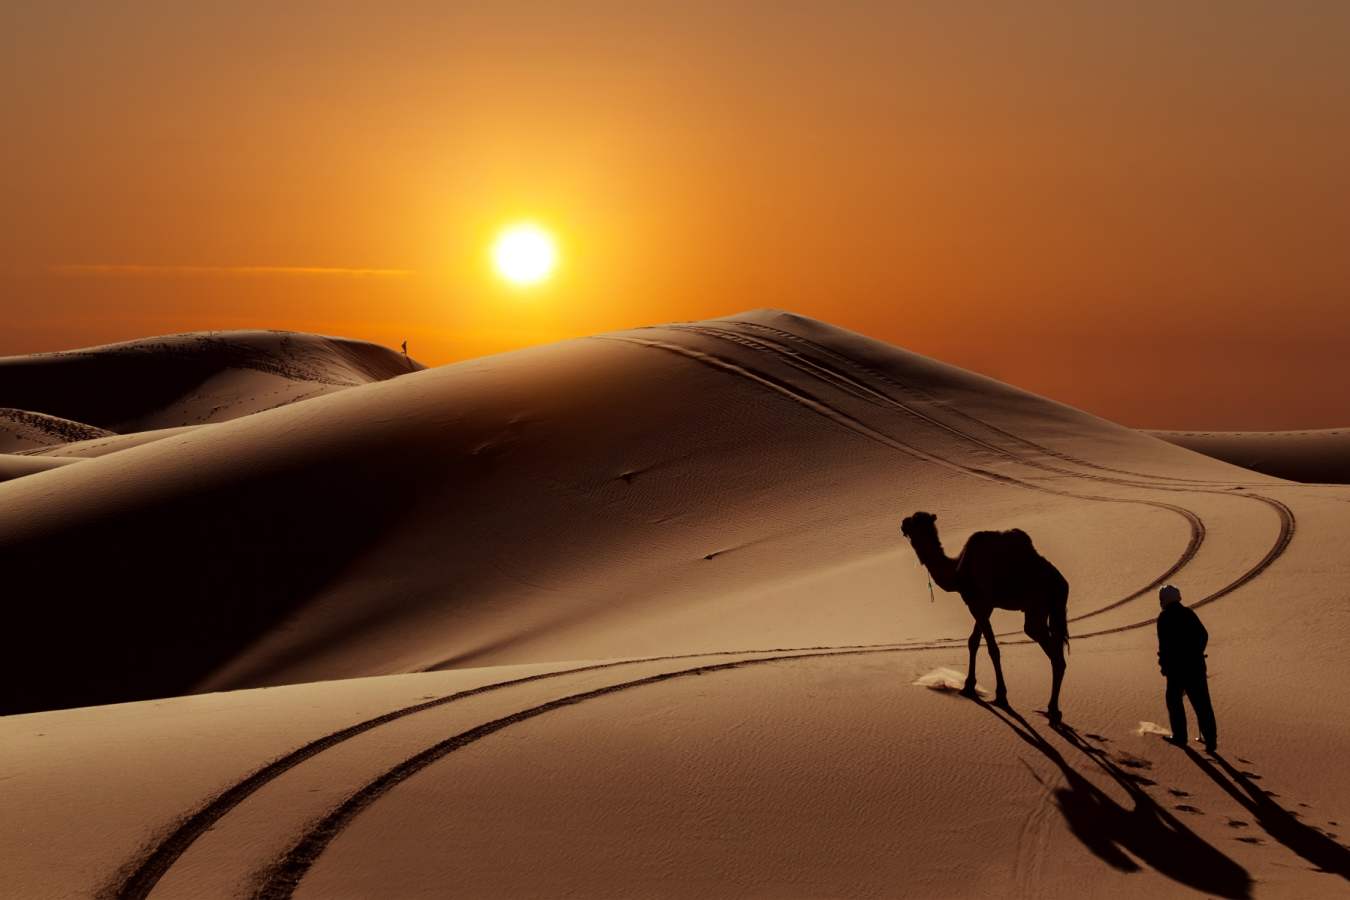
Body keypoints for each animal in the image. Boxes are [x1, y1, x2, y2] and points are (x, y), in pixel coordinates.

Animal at [900, 511, 1069, 722]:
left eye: (914, 521)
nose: (902, 523)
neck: (958, 570)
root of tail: (1062, 585)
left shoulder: (981, 603)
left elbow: (992, 648)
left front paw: (1001, 695)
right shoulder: (981, 606)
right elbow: (973, 642)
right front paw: (968, 686)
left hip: (1036, 608)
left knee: (1053, 653)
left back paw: (1052, 709)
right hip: (1052, 611)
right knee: (1058, 647)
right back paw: (1054, 710)